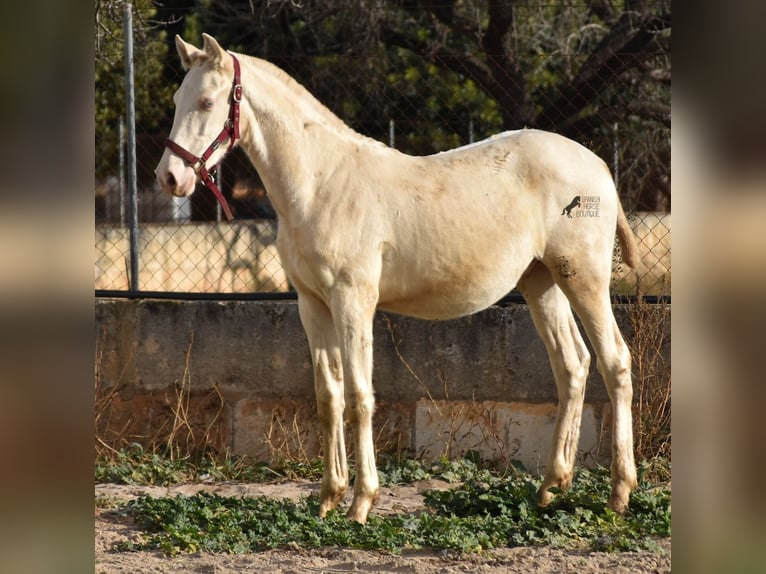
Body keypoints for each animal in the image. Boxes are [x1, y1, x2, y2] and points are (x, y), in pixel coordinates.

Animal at [154, 33, 640, 524]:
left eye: (207, 101)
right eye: (176, 100)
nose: (169, 178)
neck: (320, 183)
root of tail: (599, 165)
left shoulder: (353, 300)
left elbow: (359, 396)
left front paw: (361, 502)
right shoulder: (313, 304)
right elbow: (328, 397)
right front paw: (328, 498)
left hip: (583, 279)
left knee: (614, 361)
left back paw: (619, 494)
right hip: (542, 282)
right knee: (572, 365)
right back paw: (551, 487)